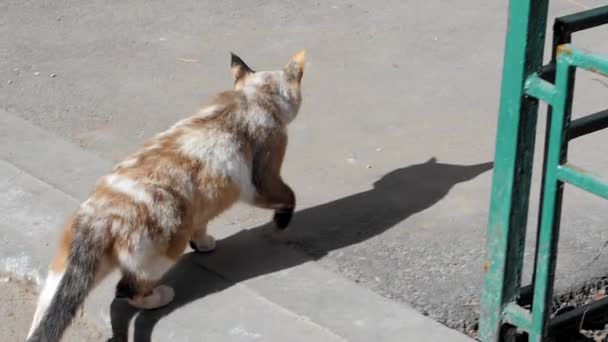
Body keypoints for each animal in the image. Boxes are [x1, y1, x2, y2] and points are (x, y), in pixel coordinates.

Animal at [26, 49, 306, 340]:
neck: (251, 97)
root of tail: (100, 216)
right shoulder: (262, 180)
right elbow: (288, 197)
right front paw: (280, 224)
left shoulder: (204, 204)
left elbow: (202, 225)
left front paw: (203, 244)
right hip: (164, 251)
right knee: (126, 290)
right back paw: (161, 296)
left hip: (61, 275)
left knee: (47, 313)